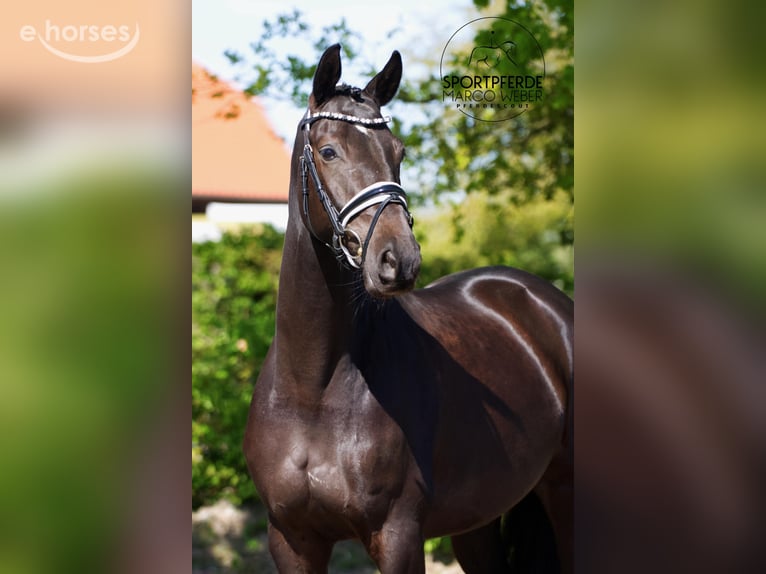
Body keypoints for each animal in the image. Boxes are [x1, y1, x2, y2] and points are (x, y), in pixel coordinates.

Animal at [243, 44, 573, 573]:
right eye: (329, 151)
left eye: (398, 153)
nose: (399, 260)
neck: (313, 390)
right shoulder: (291, 540)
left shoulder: (398, 535)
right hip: (478, 520)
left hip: (564, 491)